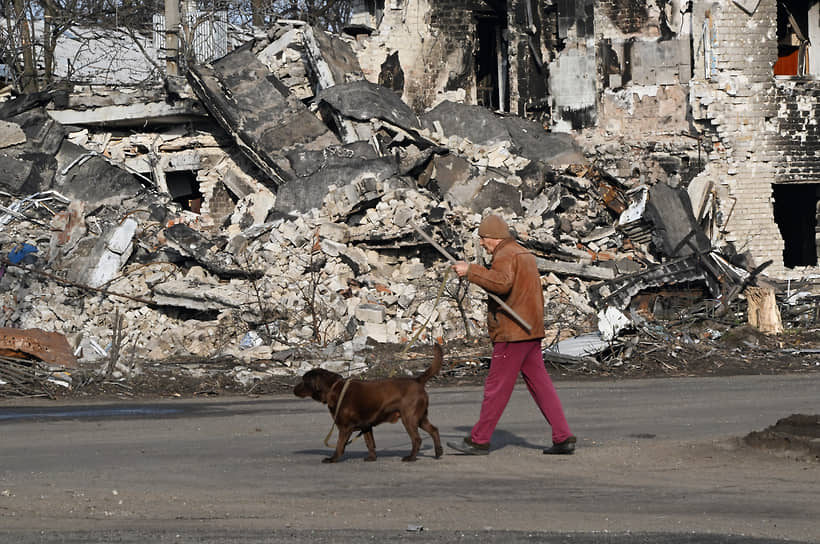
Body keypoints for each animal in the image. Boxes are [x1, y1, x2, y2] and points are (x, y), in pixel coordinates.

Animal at [294, 342, 442, 462]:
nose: (293, 389)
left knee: (417, 439)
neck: (333, 388)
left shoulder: (345, 427)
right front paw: (372, 458)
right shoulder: (366, 426)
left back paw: (411, 457)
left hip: (409, 418)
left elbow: (339, 445)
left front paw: (333, 459)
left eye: (304, 380)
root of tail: (417, 381)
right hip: (420, 417)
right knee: (434, 430)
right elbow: (370, 443)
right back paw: (438, 452)